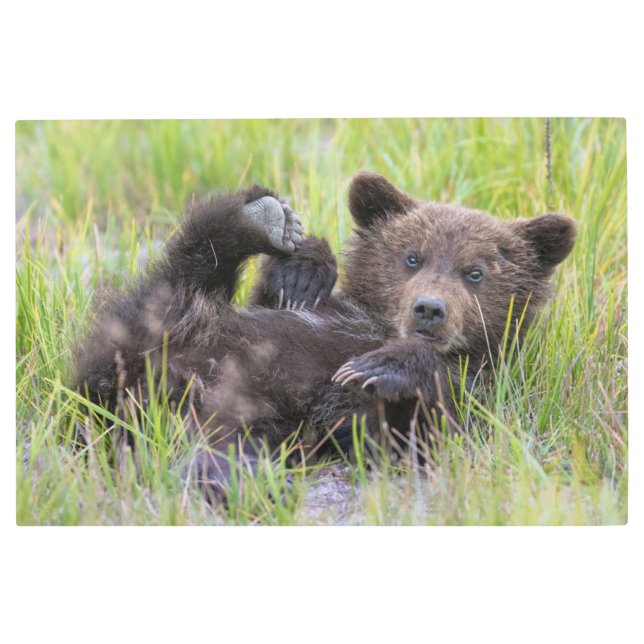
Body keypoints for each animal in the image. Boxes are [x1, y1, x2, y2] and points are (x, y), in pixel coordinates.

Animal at [73, 172, 576, 500]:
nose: (429, 309)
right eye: (412, 257)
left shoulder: (479, 387)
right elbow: (281, 298)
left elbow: (423, 428)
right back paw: (258, 217)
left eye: (475, 272)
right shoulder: (310, 313)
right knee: (177, 279)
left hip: (247, 416)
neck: (377, 324)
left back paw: (240, 476)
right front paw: (304, 270)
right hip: (158, 335)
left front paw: (382, 366)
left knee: (211, 442)